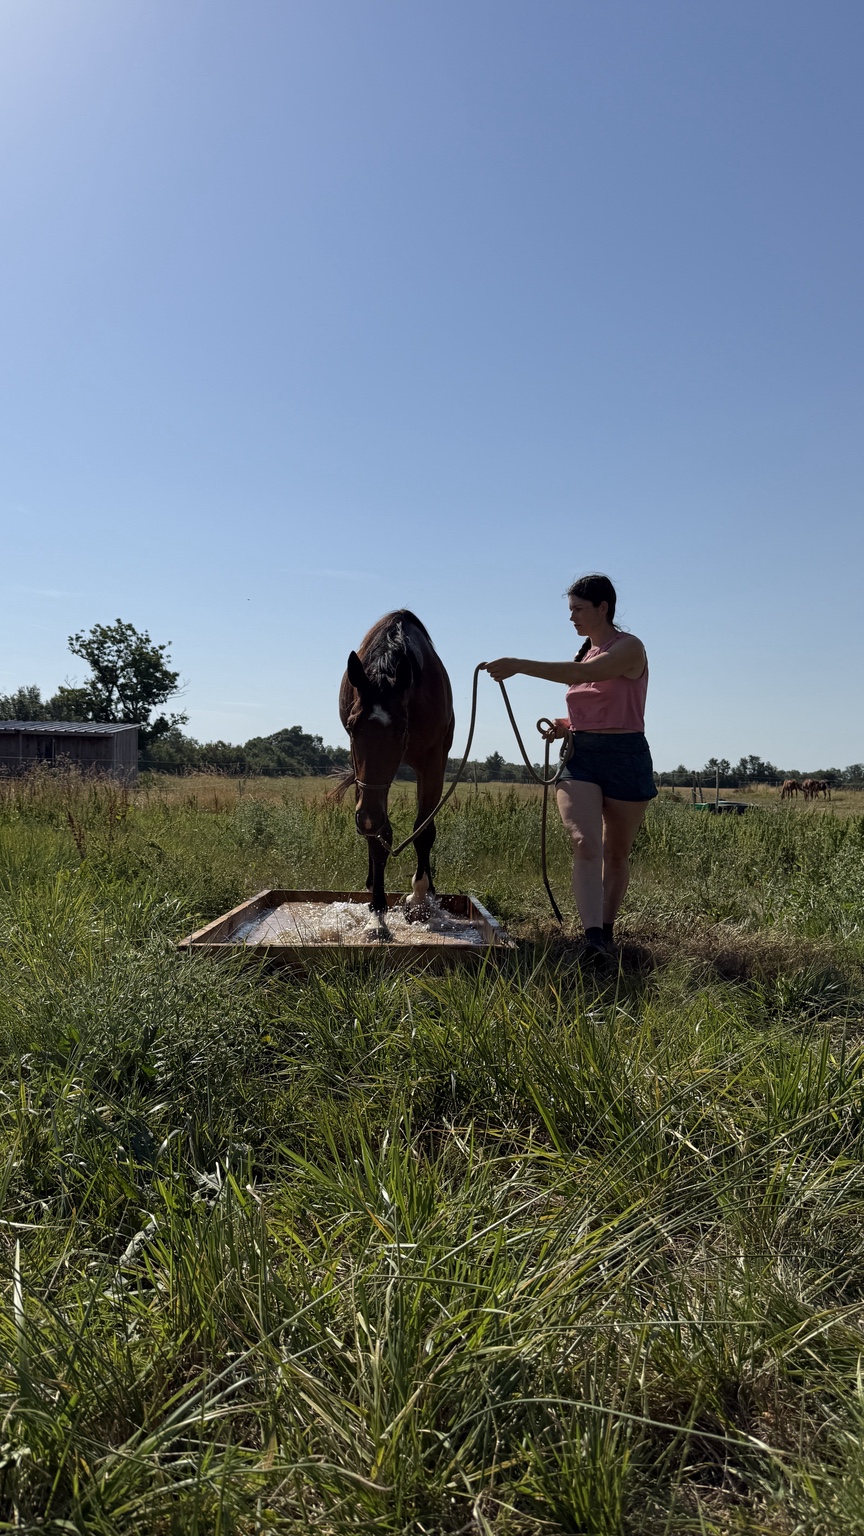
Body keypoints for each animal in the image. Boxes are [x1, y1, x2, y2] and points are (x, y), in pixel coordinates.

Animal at [336, 611, 454, 937]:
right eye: (352, 726)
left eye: (402, 729)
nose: (366, 818)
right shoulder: (368, 782)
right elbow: (379, 835)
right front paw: (377, 913)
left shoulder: (433, 763)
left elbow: (424, 831)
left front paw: (420, 900)